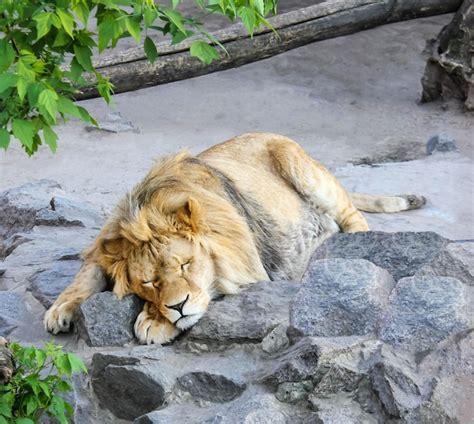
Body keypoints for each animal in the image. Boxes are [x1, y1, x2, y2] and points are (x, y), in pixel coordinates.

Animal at [44, 132, 426, 344]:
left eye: (186, 264)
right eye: (149, 283)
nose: (176, 306)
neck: (147, 210)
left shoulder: (249, 270)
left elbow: (208, 292)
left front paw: (154, 322)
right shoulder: (104, 245)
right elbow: (85, 276)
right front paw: (60, 309)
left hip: (299, 164)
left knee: (354, 217)